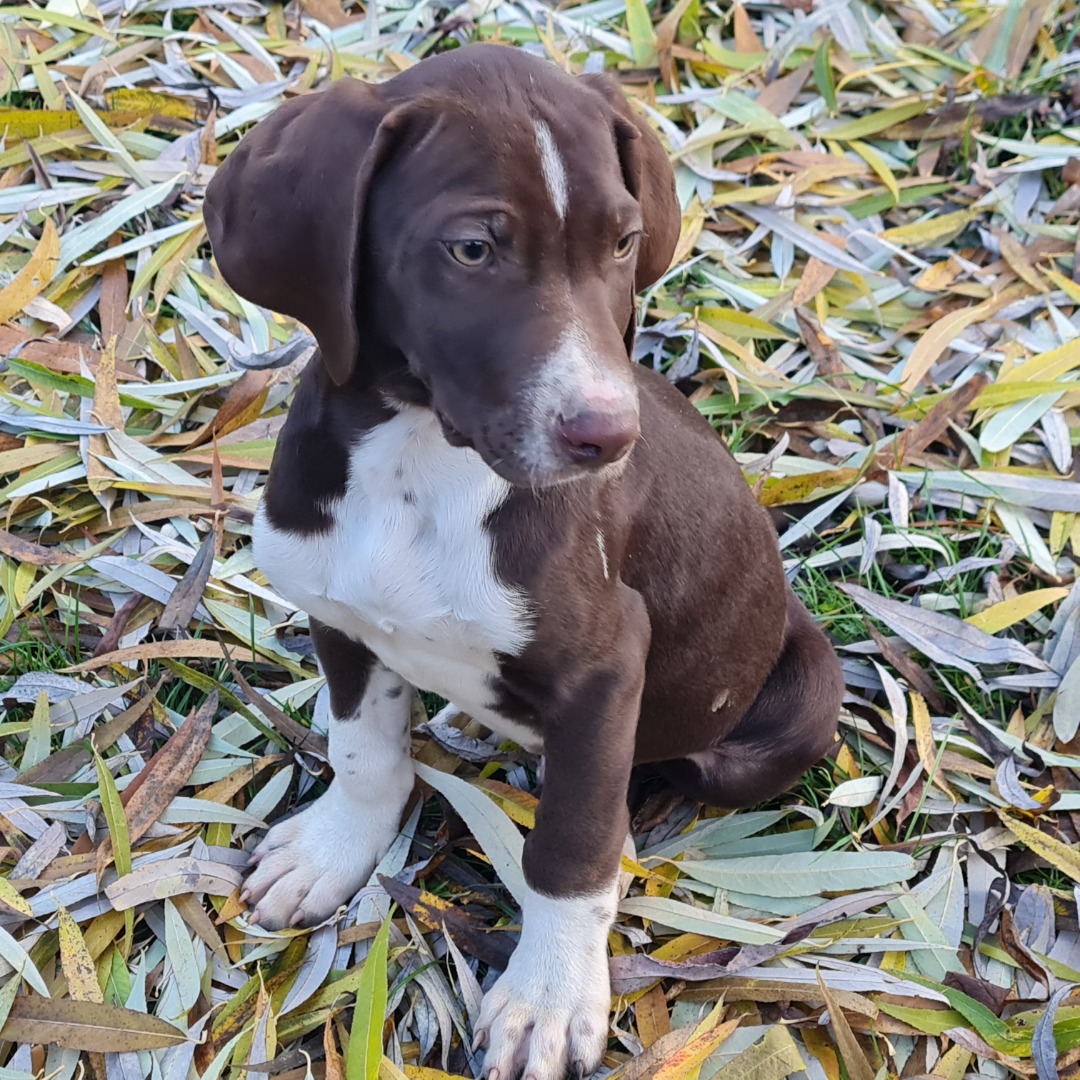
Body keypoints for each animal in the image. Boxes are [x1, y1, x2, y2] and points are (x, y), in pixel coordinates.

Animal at [204, 43, 843, 1080]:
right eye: (472, 250)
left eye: (624, 244)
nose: (607, 436)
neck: (419, 460)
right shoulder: (343, 612)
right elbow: (365, 750)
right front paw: (336, 849)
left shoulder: (605, 669)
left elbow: (571, 848)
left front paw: (547, 1000)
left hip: (776, 718)